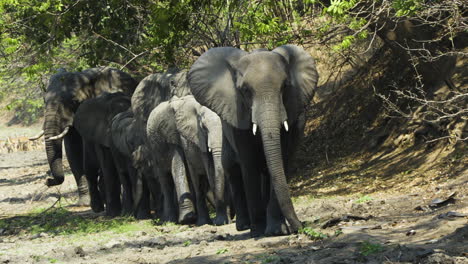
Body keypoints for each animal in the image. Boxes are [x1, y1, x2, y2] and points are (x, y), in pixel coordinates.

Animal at [188, 45, 320, 237]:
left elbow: (282, 159)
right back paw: (244, 226)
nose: (300, 227)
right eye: (245, 90)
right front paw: (257, 231)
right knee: (233, 169)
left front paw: (277, 231)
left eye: (285, 86)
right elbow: (249, 163)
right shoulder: (238, 117)